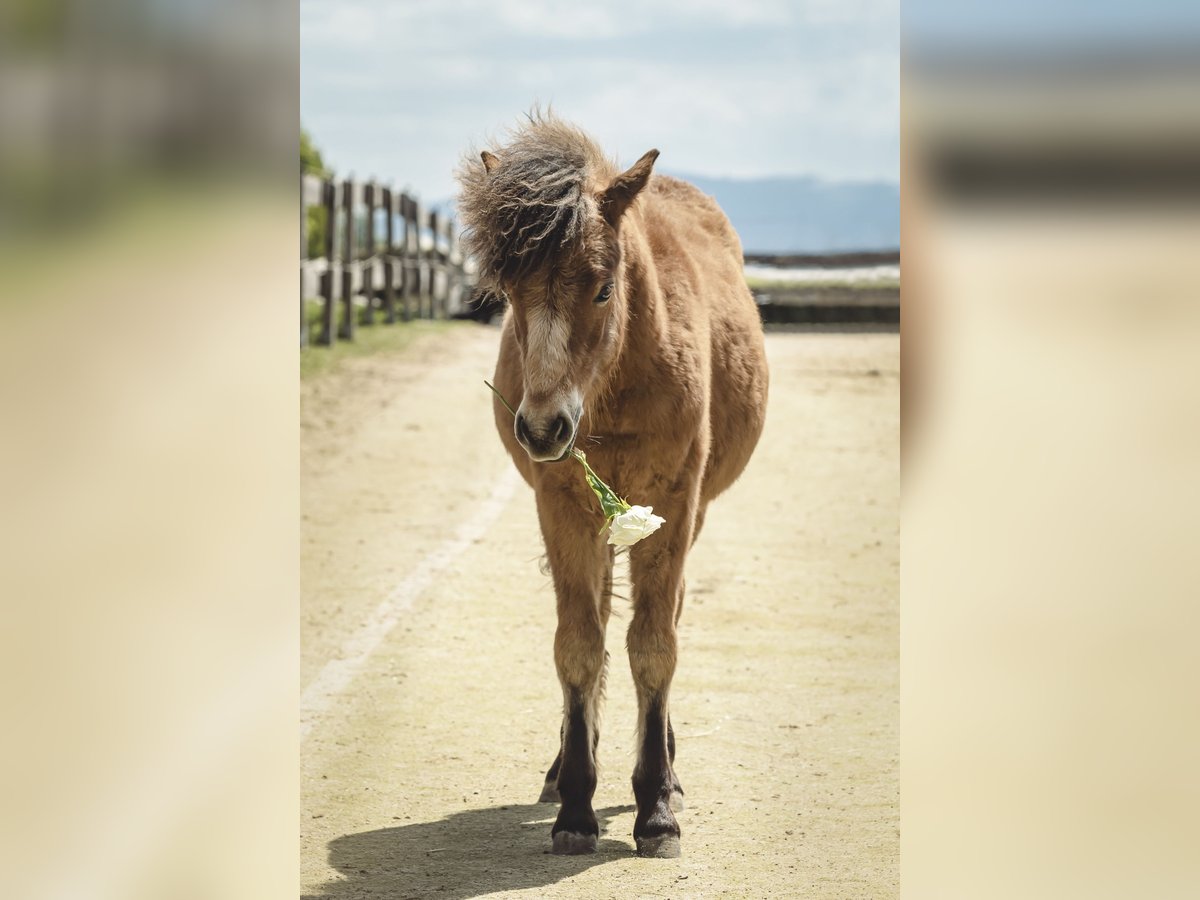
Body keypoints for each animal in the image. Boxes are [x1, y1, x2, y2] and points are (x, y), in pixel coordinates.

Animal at [458, 112, 768, 859]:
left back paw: (670, 769)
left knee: (667, 618)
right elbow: (579, 645)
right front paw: (576, 805)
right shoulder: (563, 509)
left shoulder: (673, 509)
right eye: (509, 294)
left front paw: (655, 807)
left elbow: (654, 647)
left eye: (602, 286)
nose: (542, 428)